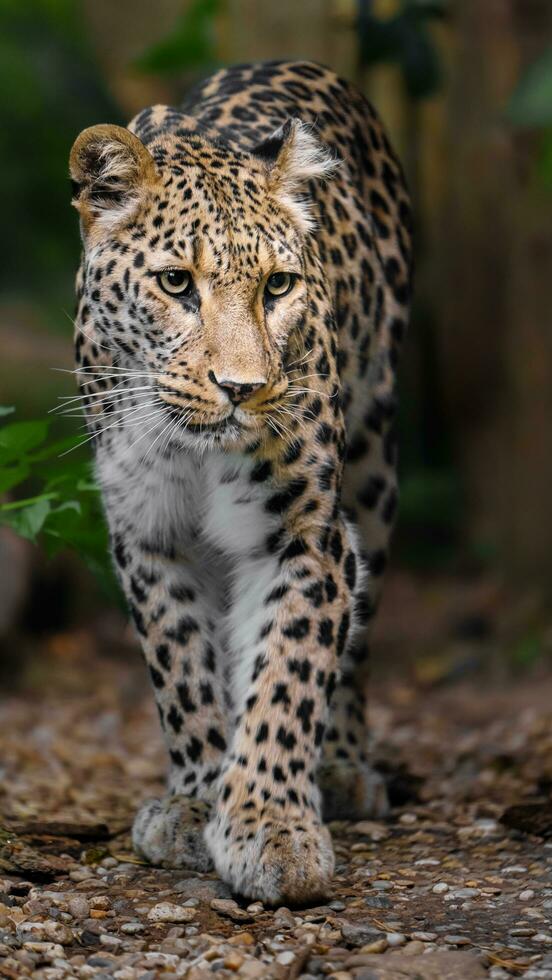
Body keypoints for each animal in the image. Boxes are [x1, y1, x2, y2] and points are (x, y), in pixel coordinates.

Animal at [69, 59, 412, 904]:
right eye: (175, 283)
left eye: (280, 286)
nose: (242, 388)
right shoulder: (147, 534)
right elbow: (182, 670)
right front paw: (196, 803)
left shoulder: (306, 536)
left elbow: (289, 674)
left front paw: (271, 828)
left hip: (375, 473)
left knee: (356, 639)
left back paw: (343, 767)